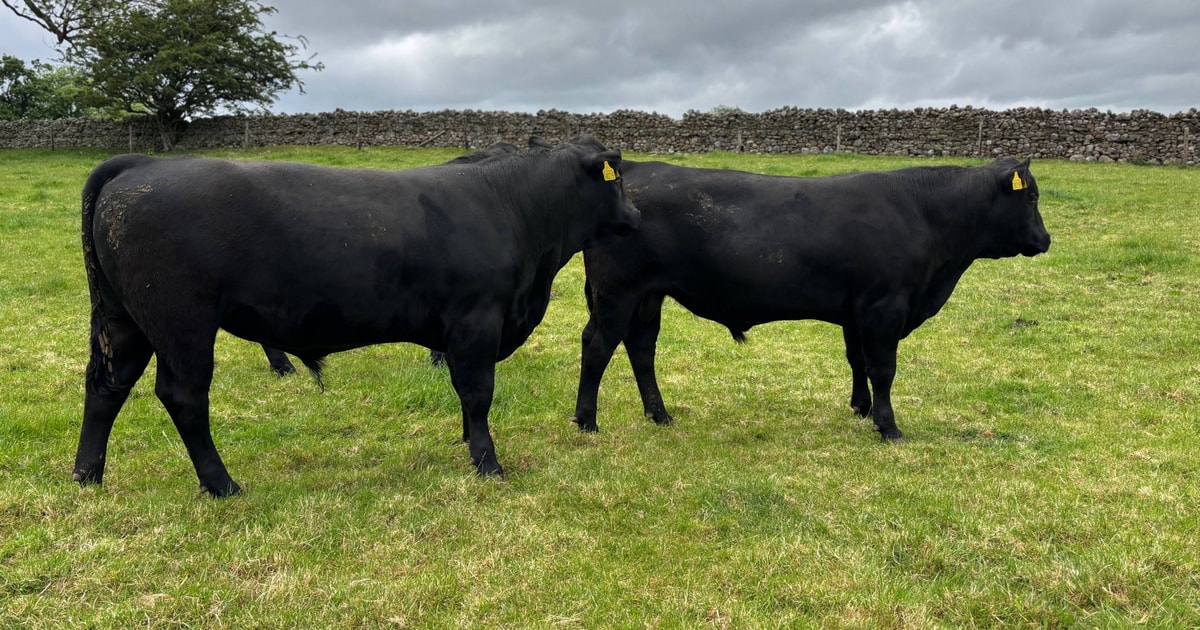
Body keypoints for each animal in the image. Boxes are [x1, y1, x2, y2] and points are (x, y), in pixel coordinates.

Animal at [74, 135, 640, 496]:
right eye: (616, 182)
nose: (636, 216)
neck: (512, 207)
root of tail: (141, 164)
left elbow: (465, 395)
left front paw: (467, 444)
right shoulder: (476, 321)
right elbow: (479, 394)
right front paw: (488, 463)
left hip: (127, 321)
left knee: (106, 388)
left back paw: (87, 476)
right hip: (181, 324)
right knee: (184, 398)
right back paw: (222, 484)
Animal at [571, 157, 1050, 441]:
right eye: (1031, 196)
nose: (1046, 239)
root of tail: (635, 167)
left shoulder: (856, 311)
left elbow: (858, 362)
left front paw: (860, 408)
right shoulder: (885, 307)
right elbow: (884, 368)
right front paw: (889, 426)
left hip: (647, 297)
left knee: (641, 349)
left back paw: (660, 415)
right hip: (618, 294)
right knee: (597, 348)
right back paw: (587, 421)